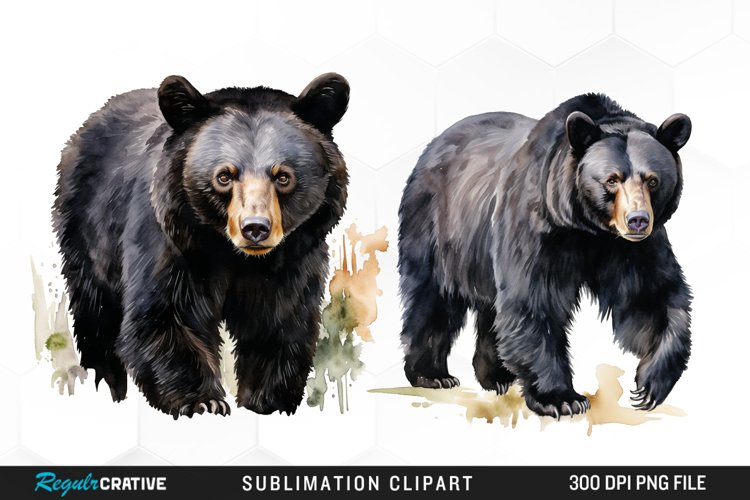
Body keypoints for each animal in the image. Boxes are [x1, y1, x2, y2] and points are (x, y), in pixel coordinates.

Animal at [53, 72, 350, 418]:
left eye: (283, 177)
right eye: (224, 176)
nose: (255, 228)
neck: (236, 256)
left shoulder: (293, 258)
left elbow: (280, 321)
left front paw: (268, 400)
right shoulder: (170, 243)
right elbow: (166, 315)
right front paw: (204, 401)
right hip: (87, 229)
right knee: (95, 310)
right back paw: (106, 380)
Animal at [398, 93, 692, 418]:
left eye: (652, 180)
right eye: (612, 180)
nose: (637, 220)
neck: (589, 228)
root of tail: (432, 147)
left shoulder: (631, 248)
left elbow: (649, 298)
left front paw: (650, 384)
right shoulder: (537, 224)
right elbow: (534, 301)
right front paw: (562, 398)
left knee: (491, 309)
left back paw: (496, 376)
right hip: (438, 226)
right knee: (433, 297)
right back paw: (432, 374)